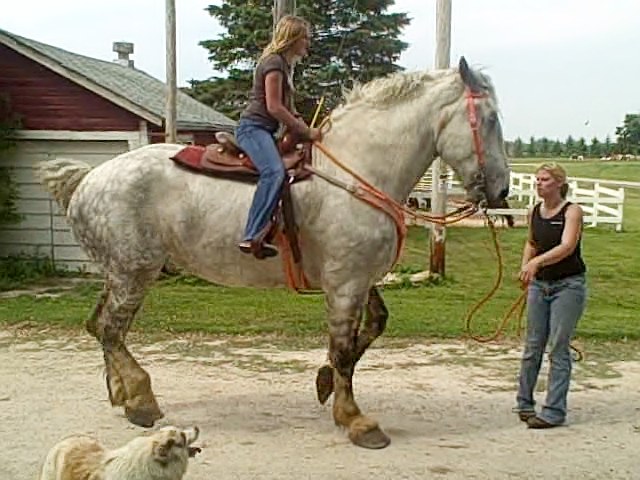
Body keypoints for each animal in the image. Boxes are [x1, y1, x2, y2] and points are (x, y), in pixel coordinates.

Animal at [38, 58, 510, 448]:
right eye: (488, 120)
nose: (502, 191)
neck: (355, 174)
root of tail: (86, 179)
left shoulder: (358, 278)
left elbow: (373, 327)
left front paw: (324, 382)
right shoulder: (345, 284)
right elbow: (343, 348)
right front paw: (355, 420)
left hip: (119, 273)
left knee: (99, 326)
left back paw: (120, 392)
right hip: (135, 272)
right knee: (111, 329)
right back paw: (140, 400)